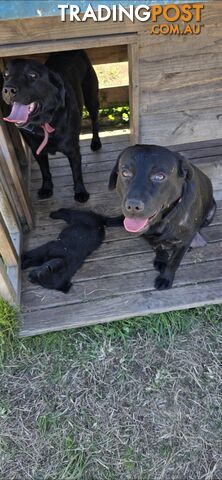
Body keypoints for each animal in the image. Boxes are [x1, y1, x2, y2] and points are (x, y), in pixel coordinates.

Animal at [1, 50, 100, 202]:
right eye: (6, 75)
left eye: (32, 75)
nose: (8, 90)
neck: (44, 123)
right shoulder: (37, 151)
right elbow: (45, 171)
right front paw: (46, 188)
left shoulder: (73, 150)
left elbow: (76, 173)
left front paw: (80, 192)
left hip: (91, 97)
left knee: (95, 120)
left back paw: (96, 142)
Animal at [108, 144, 216, 290]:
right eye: (125, 173)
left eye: (159, 176)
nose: (133, 206)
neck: (163, 220)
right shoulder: (149, 236)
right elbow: (157, 247)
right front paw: (161, 259)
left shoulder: (185, 240)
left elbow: (174, 262)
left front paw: (166, 277)